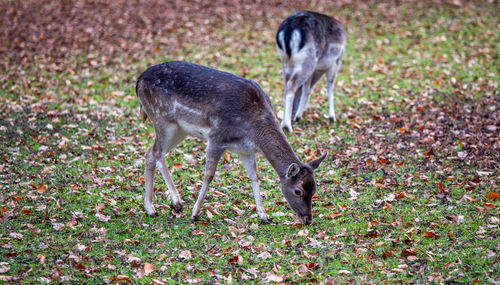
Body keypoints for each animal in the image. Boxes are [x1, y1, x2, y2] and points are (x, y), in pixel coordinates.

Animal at [135, 60, 326, 224]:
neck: (254, 131)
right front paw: (195, 213)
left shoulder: (246, 150)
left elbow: (254, 176)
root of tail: (138, 81)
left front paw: (263, 215)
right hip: (162, 118)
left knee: (150, 152)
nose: (308, 219)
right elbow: (209, 175)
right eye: (298, 191)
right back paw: (172, 202)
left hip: (179, 130)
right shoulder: (217, 137)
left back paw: (152, 207)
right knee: (157, 152)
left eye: (315, 189)